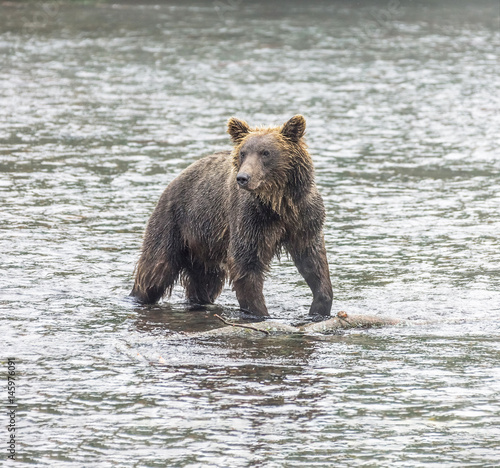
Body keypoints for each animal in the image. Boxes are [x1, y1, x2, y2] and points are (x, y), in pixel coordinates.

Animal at [131, 114, 332, 318]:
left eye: (265, 152)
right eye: (243, 152)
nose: (243, 178)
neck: (278, 202)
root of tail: (172, 182)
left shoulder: (304, 218)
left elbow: (313, 261)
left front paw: (319, 308)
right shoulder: (251, 220)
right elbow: (246, 263)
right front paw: (259, 313)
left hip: (204, 244)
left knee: (205, 280)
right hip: (174, 222)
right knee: (155, 269)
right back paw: (138, 296)